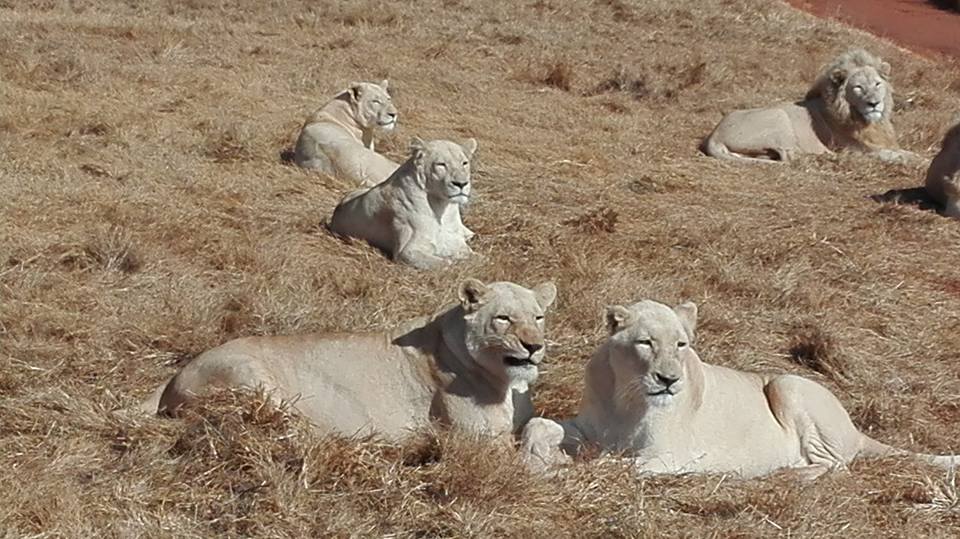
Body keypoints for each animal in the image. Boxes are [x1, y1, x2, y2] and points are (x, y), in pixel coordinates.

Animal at [145, 278, 560, 442]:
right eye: (504, 319)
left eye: (538, 317)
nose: (533, 346)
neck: (508, 384)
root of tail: (175, 376)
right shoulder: (480, 442)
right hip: (250, 379)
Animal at [330, 136, 480, 268]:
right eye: (441, 164)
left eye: (464, 163)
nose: (461, 184)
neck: (443, 208)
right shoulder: (406, 251)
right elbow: (446, 264)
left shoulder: (457, 244)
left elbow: (477, 257)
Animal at [524, 300, 960, 480]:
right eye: (646, 343)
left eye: (681, 344)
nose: (669, 380)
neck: (628, 396)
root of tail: (855, 429)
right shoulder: (591, 426)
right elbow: (539, 425)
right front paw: (536, 457)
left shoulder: (668, 455)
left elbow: (611, 466)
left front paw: (557, 470)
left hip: (787, 382)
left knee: (837, 466)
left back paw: (784, 474)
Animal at [704, 50, 916, 165]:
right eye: (858, 87)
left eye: (877, 84)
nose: (874, 103)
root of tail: (714, 135)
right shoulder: (856, 149)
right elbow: (891, 155)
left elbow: (903, 151)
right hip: (780, 116)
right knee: (789, 156)